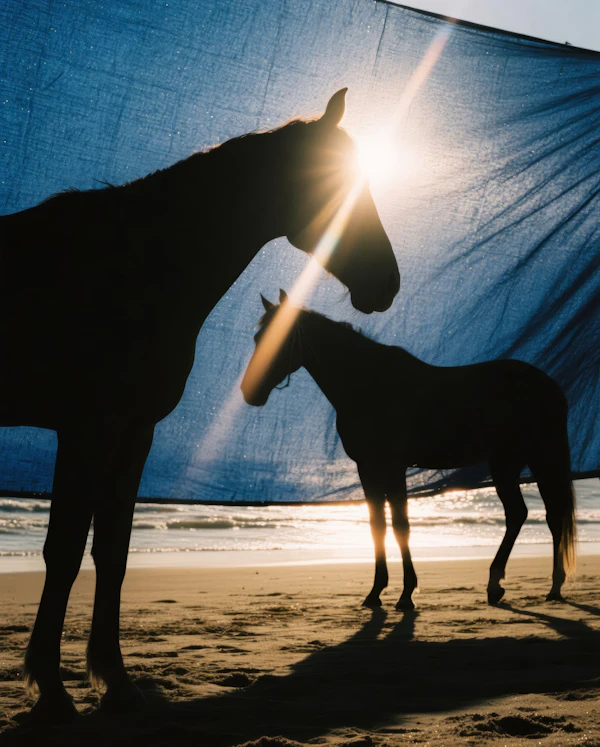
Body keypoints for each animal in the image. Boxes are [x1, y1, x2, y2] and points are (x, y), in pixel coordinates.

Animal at [0, 89, 400, 721]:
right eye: (339, 183)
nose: (388, 282)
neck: (138, 265)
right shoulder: (88, 429)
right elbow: (64, 550)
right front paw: (51, 688)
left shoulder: (133, 432)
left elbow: (112, 552)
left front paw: (116, 681)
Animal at [242, 290, 577, 612]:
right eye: (258, 338)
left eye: (281, 340)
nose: (249, 391)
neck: (366, 384)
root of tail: (549, 386)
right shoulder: (368, 468)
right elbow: (377, 525)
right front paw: (376, 592)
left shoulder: (393, 467)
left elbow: (401, 525)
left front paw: (406, 594)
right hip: (512, 462)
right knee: (532, 514)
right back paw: (519, 586)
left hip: (534, 459)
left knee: (541, 514)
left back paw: (537, 585)